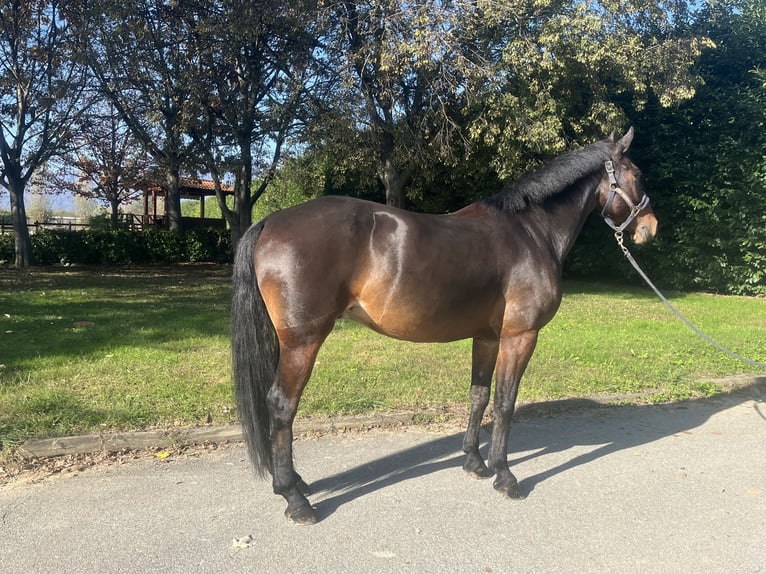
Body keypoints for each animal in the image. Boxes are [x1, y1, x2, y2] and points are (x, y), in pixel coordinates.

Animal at [232, 129, 660, 528]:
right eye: (638, 174)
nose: (650, 228)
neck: (531, 232)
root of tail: (270, 220)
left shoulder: (487, 337)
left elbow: (479, 396)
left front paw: (475, 462)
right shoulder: (520, 336)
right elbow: (505, 402)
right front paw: (505, 476)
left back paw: (295, 482)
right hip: (303, 342)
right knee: (282, 406)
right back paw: (294, 499)